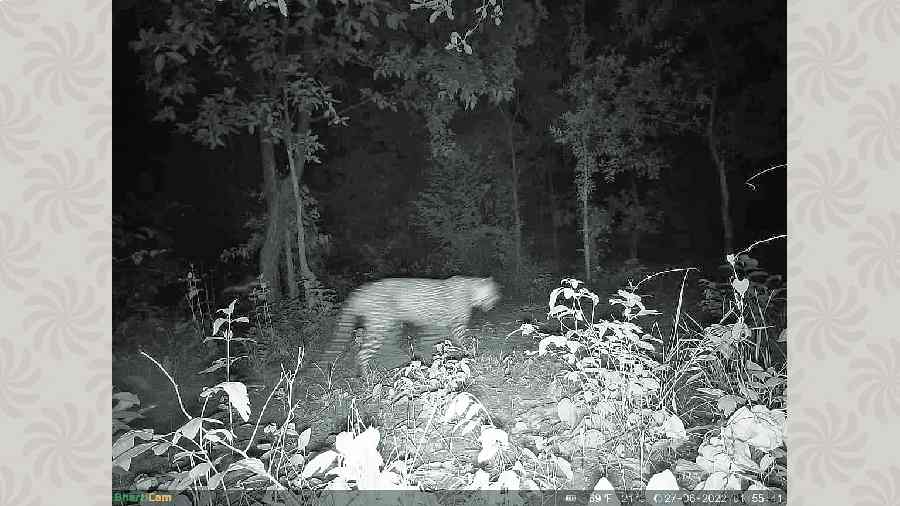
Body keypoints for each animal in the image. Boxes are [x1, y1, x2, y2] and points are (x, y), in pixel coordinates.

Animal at [312, 276, 500, 376]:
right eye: (493, 294)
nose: (492, 305)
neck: (471, 291)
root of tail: (360, 290)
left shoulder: (435, 326)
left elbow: (429, 343)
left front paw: (427, 360)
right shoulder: (455, 325)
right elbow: (465, 340)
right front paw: (473, 353)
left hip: (391, 326)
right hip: (380, 327)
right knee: (363, 353)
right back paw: (368, 377)